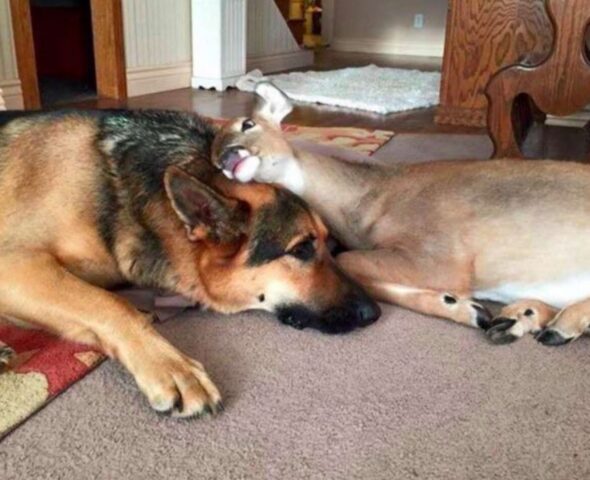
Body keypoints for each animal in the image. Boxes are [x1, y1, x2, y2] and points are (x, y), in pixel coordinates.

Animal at [0, 109, 380, 416]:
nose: (374, 312)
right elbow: (111, 304)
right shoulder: (15, 265)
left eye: (330, 244)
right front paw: (173, 367)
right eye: (301, 249)